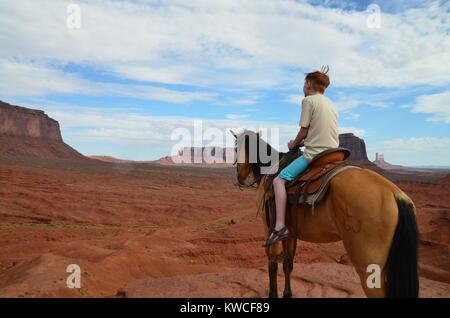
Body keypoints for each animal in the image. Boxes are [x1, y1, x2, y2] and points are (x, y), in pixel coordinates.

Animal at [232, 130, 418, 298]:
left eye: (234, 149)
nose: (241, 178)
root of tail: (395, 194)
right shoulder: (289, 231)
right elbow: (287, 263)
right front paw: (287, 294)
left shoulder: (269, 227)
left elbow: (272, 263)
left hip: (370, 267)